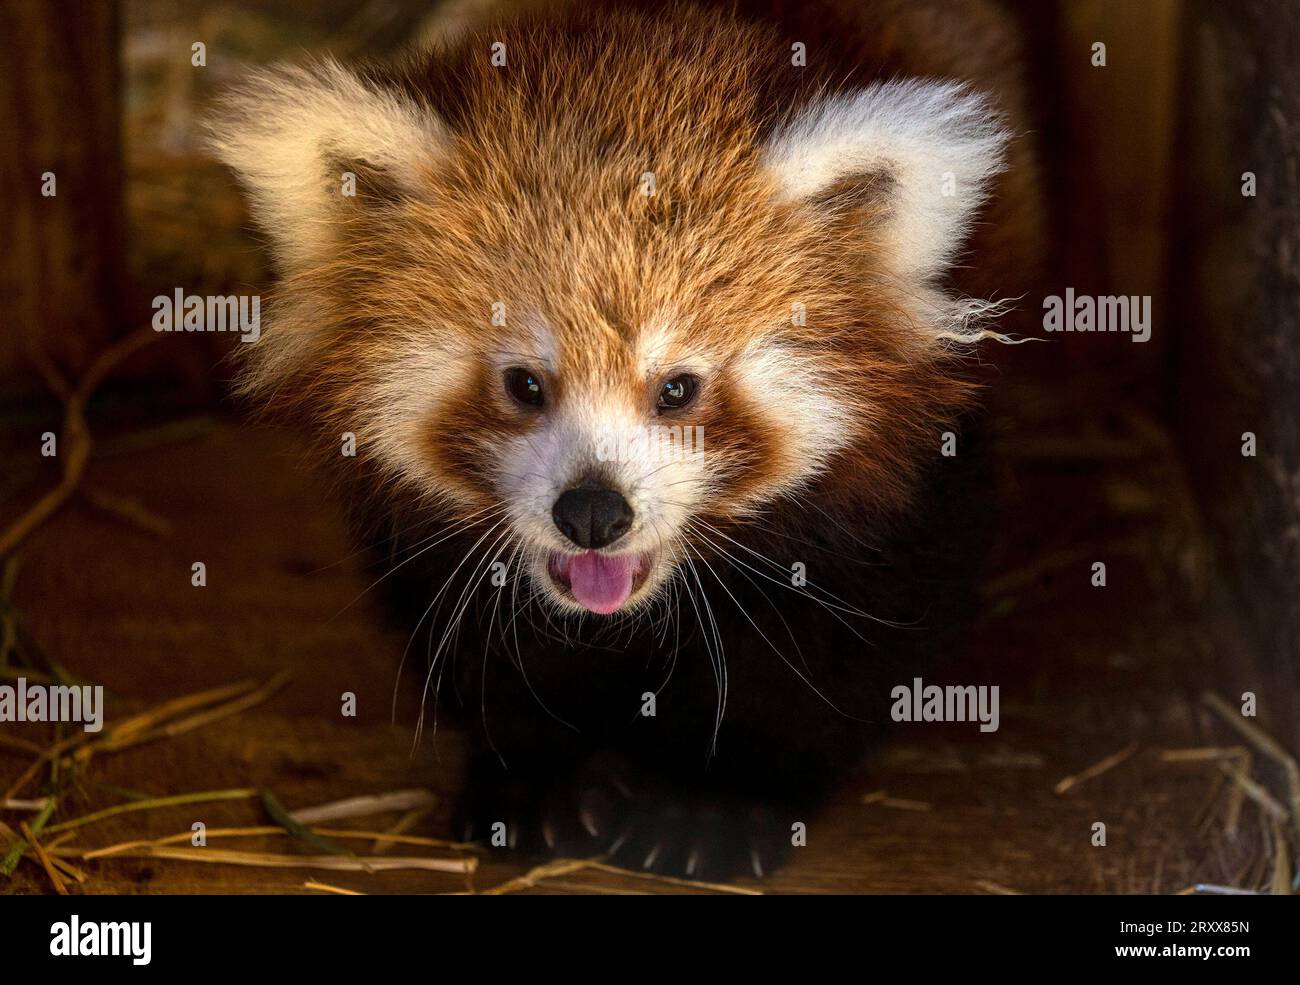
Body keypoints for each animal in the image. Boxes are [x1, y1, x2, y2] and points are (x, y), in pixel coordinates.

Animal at [208, 0, 1040, 878]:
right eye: (524, 384)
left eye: (677, 389)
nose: (593, 511)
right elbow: (481, 646)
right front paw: (534, 783)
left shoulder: (908, 488)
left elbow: (831, 654)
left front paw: (718, 800)